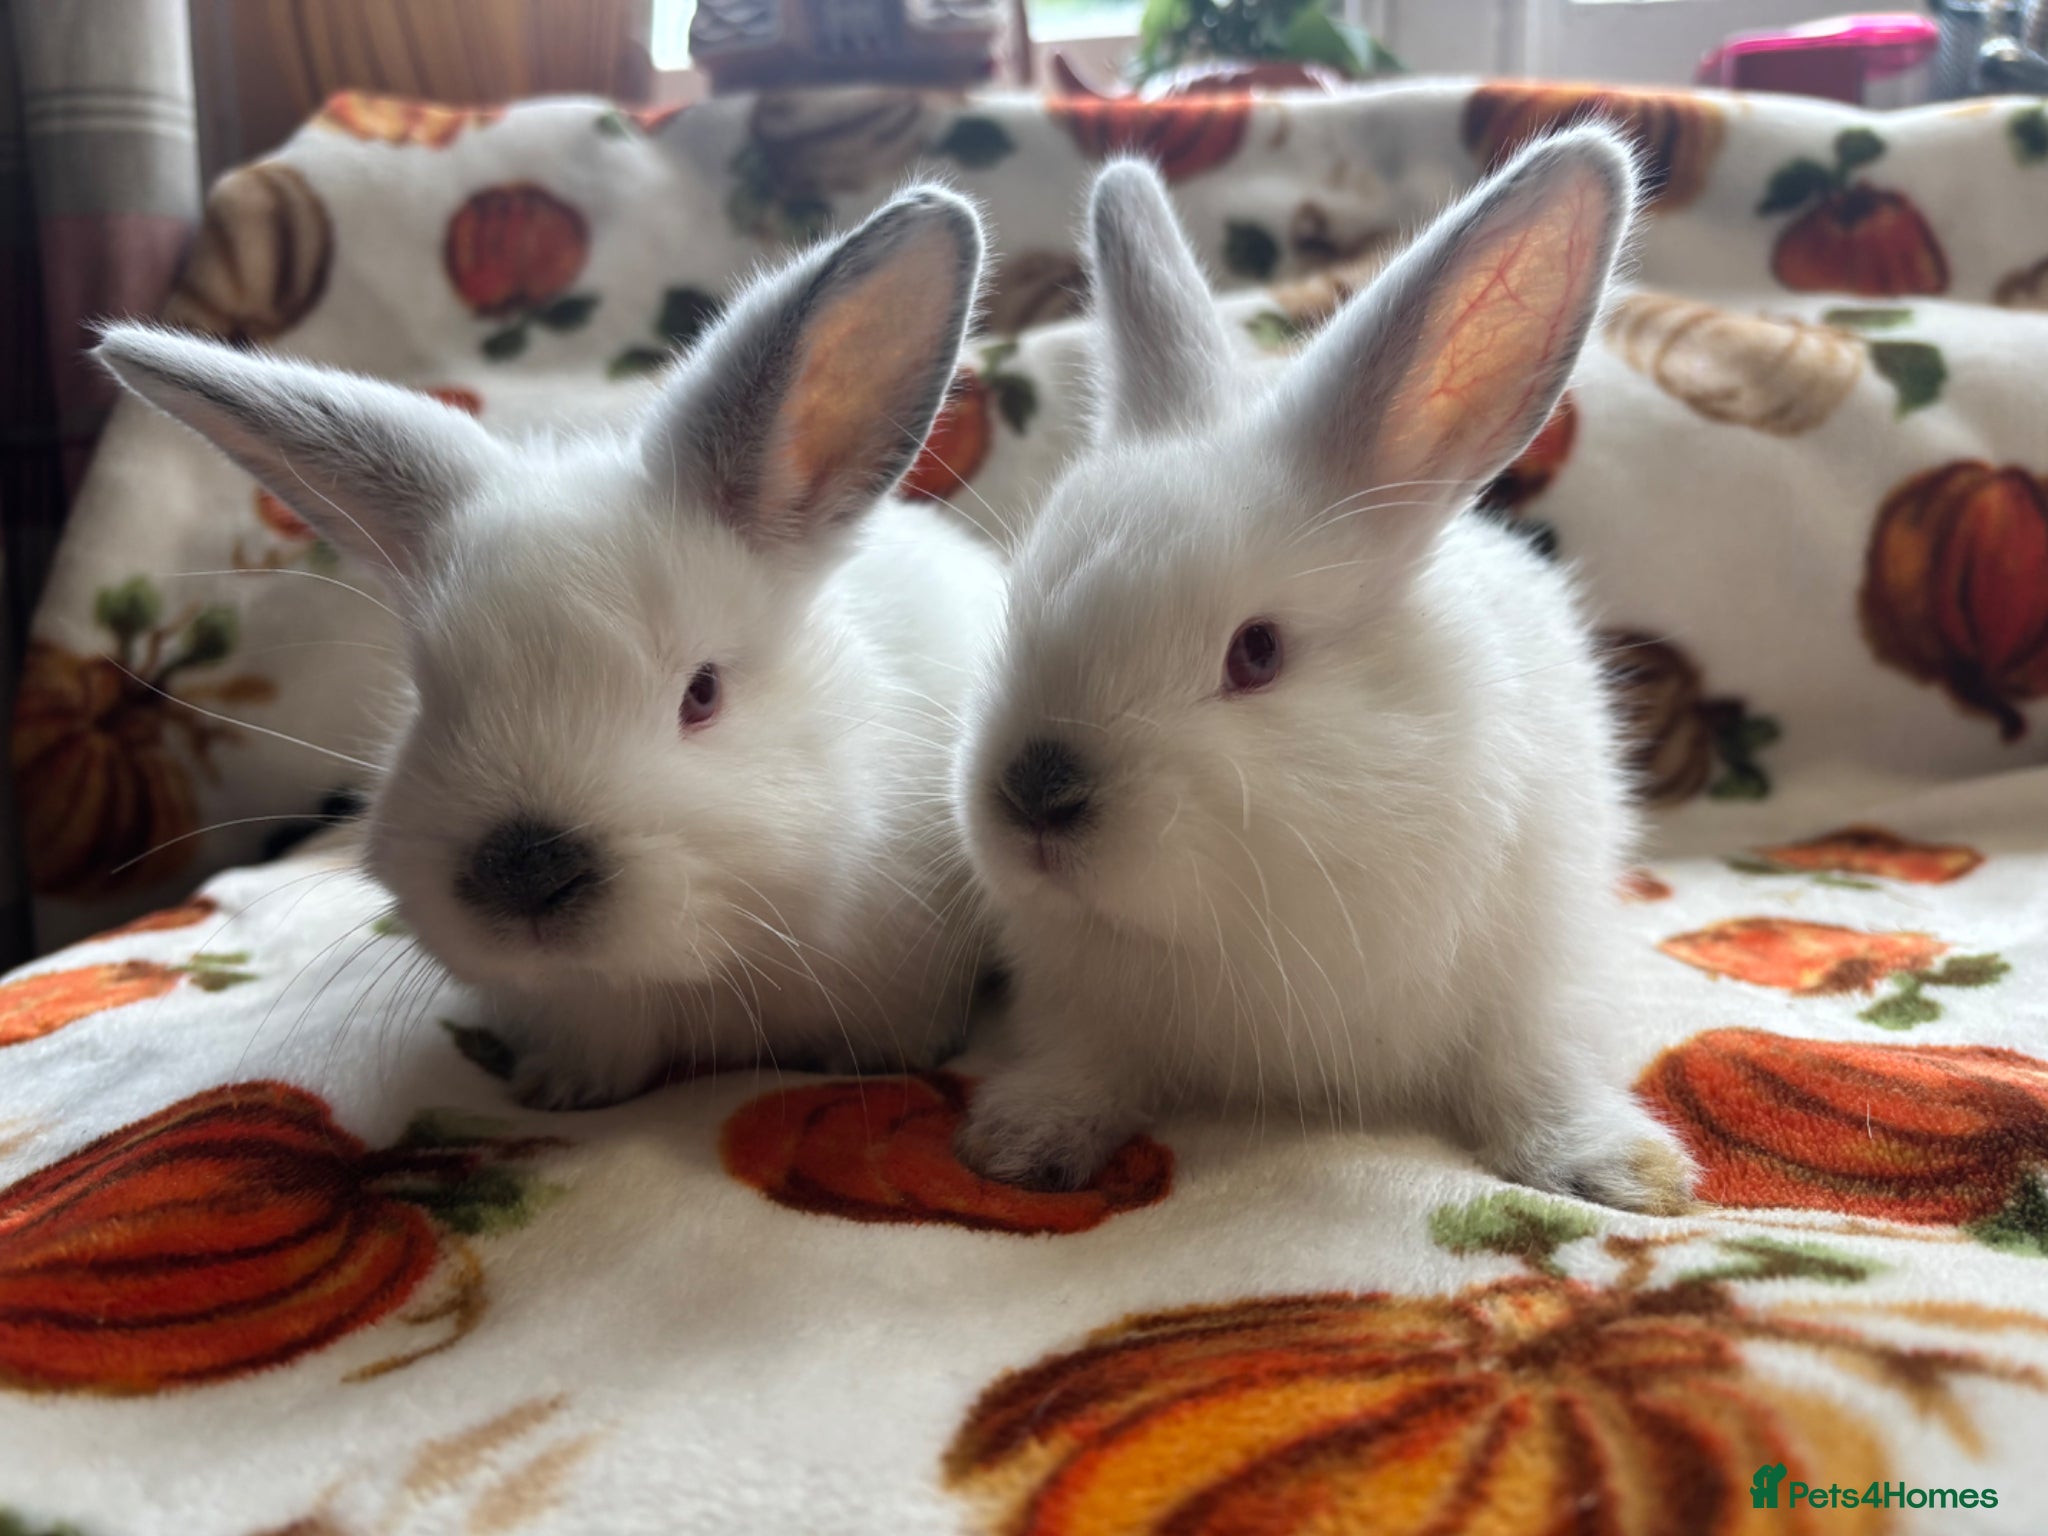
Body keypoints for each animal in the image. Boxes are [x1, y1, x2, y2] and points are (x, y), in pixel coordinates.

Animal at [951, 130, 1696, 1215]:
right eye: (1019, 603)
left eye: (1256, 652)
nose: (1035, 793)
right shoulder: (1079, 1002)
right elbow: (1083, 1065)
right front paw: (1020, 1142)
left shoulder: (1533, 969)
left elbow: (1532, 1067)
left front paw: (1614, 1169)